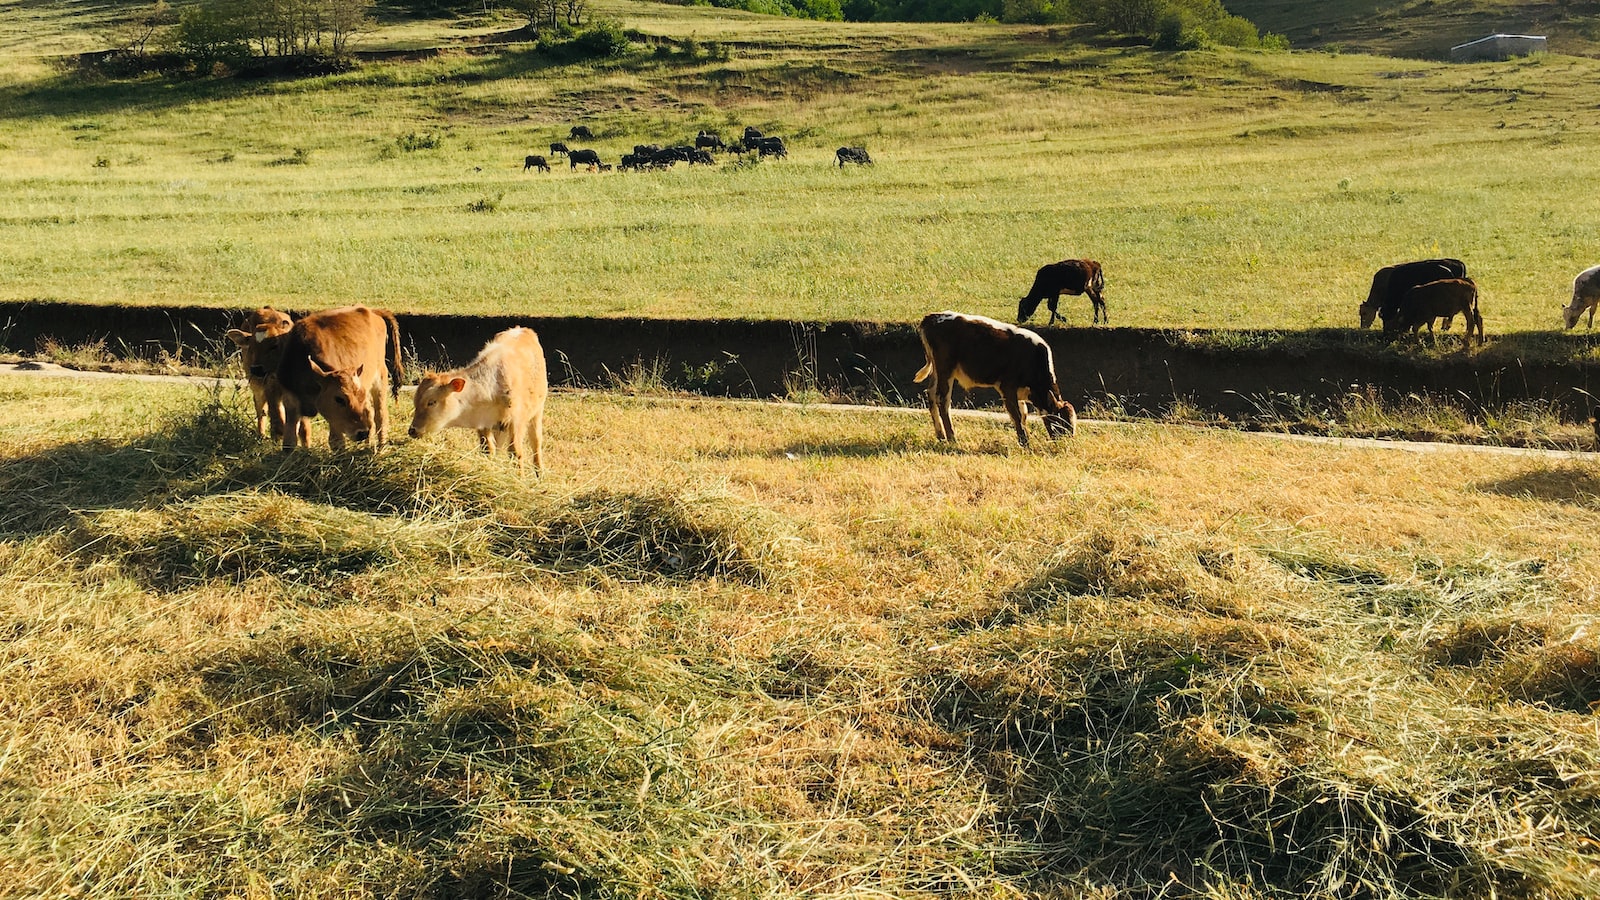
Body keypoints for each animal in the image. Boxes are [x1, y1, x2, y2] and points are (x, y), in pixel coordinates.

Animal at [225, 304, 305, 445]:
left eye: (274, 345)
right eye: (251, 347)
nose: (256, 369)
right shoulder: (269, 386)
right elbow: (276, 417)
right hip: (256, 385)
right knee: (261, 409)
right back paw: (262, 435)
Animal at [275, 305, 403, 448]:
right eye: (339, 399)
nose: (362, 433)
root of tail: (373, 312)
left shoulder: (334, 420)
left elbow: (336, 441)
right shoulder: (291, 402)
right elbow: (289, 442)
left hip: (380, 378)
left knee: (380, 415)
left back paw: (381, 447)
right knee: (370, 413)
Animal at [406, 325, 550, 474]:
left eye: (431, 402)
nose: (412, 430)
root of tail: (523, 329)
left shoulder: (516, 422)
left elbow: (516, 453)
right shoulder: (484, 425)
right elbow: (489, 450)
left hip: (537, 412)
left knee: (536, 443)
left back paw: (540, 473)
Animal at [915, 310, 1075, 445]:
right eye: (1061, 421)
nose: (1067, 443)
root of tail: (931, 317)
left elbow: (1023, 414)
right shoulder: (1007, 387)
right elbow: (1017, 415)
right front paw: (1025, 443)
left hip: (937, 371)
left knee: (931, 394)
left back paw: (941, 435)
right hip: (946, 369)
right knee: (943, 400)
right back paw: (952, 438)